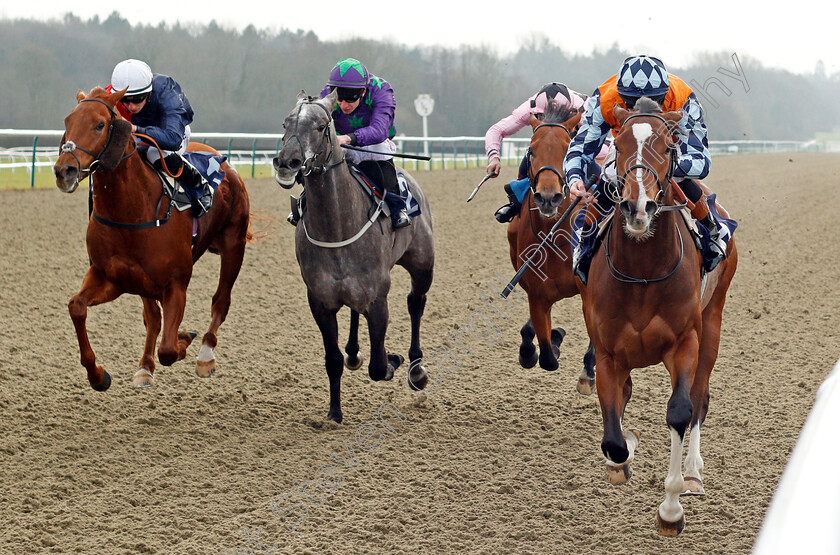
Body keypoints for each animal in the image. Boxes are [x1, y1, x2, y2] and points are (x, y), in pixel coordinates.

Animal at [51, 88, 249, 390]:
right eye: (67, 121)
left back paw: (205, 355)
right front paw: (98, 375)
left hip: (233, 245)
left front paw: (184, 339)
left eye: (100, 124)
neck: (131, 211)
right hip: (143, 282)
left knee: (220, 301)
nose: (65, 171)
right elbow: (77, 307)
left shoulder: (175, 283)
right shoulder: (110, 277)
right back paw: (145, 366)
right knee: (153, 318)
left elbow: (168, 348)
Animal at [274, 91, 436, 424]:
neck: (336, 227)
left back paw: (416, 369)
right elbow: (333, 359)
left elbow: (378, 366)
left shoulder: (378, 298)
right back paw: (353, 352)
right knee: (353, 314)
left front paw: (392, 359)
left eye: (321, 126)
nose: (287, 163)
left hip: (423, 264)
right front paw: (334, 413)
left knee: (416, 303)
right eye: (285, 123)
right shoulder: (320, 301)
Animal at [506, 102, 596, 394]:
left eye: (568, 148)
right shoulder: (537, 293)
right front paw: (546, 342)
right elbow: (545, 354)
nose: (548, 197)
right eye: (531, 150)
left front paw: (587, 371)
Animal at [580, 97, 740, 536]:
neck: (643, 272)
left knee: (701, 398)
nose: (638, 206)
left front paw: (670, 508)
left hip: (713, 321)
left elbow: (680, 411)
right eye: (616, 145)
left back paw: (693, 473)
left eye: (668, 147)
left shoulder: (685, 342)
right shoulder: (607, 352)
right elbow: (614, 434)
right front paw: (624, 453)